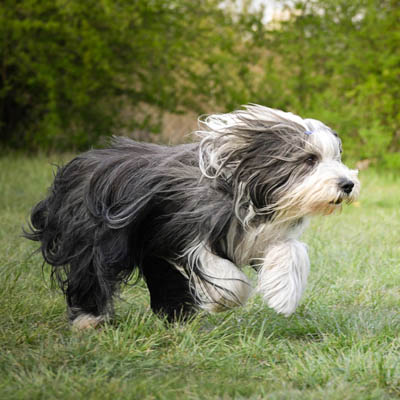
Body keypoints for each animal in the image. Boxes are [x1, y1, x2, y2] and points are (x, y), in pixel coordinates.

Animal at [26, 104, 360, 328]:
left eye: (335, 157)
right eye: (309, 159)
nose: (348, 184)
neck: (243, 186)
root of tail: (77, 166)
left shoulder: (259, 237)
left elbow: (291, 251)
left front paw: (284, 294)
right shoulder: (187, 230)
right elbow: (221, 272)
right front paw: (224, 300)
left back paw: (176, 315)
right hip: (98, 237)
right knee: (90, 271)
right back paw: (88, 320)